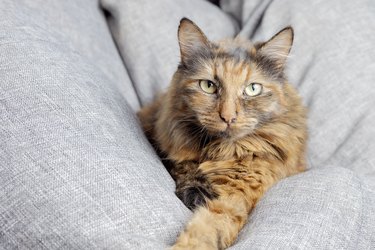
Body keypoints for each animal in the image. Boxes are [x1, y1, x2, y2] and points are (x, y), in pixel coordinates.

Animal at [138, 18, 308, 250]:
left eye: (252, 89)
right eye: (208, 86)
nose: (228, 117)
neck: (220, 149)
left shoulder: (236, 193)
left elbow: (207, 230)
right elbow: (182, 166)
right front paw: (195, 190)